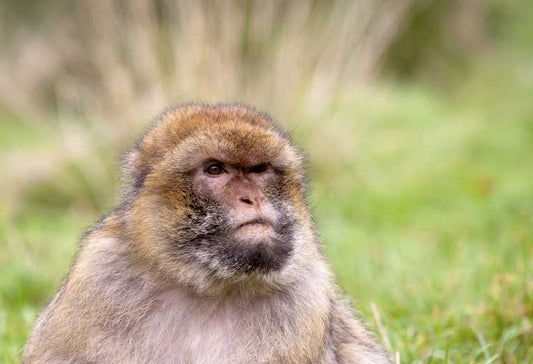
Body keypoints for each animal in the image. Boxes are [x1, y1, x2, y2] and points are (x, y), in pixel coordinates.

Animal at [23, 103, 390, 364]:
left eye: (259, 170)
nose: (252, 198)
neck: (208, 287)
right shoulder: (97, 280)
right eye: (215, 169)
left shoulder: (304, 299)